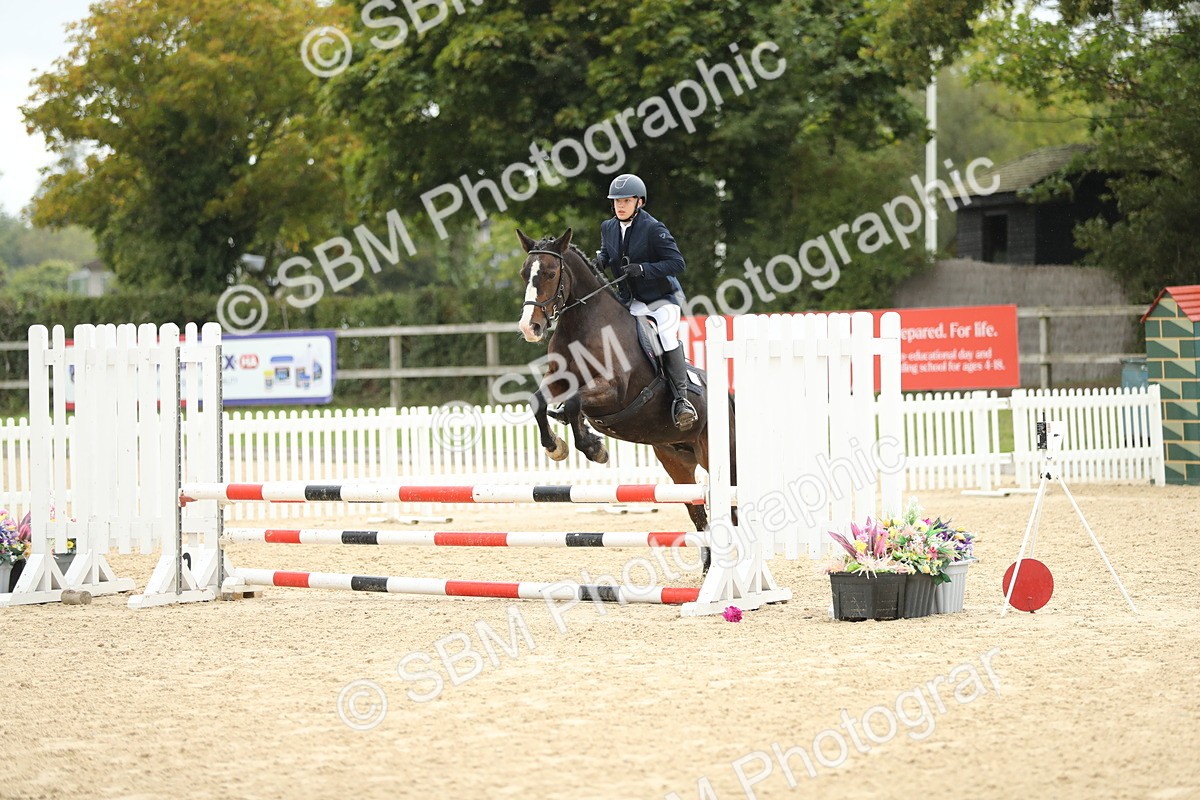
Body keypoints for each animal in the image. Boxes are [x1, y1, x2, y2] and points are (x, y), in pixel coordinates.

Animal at [514, 227, 735, 563]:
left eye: (551, 274)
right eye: (525, 274)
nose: (530, 327)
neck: (583, 325)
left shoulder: (614, 393)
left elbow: (576, 403)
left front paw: (593, 448)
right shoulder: (559, 382)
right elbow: (538, 402)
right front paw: (557, 447)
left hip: (716, 455)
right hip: (677, 463)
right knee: (698, 513)